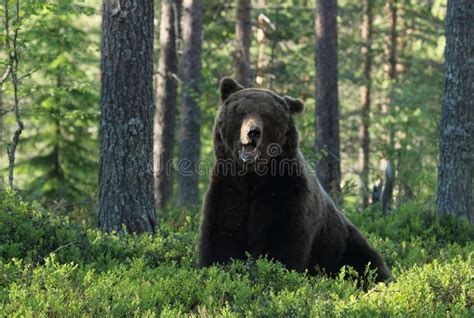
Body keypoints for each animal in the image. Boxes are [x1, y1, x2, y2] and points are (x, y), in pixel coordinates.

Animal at [198, 77, 390, 284]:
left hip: (344, 244)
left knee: (367, 263)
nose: (253, 132)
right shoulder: (229, 190)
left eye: (266, 115)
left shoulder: (285, 192)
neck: (252, 178)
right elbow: (222, 237)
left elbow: (280, 244)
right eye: (241, 111)